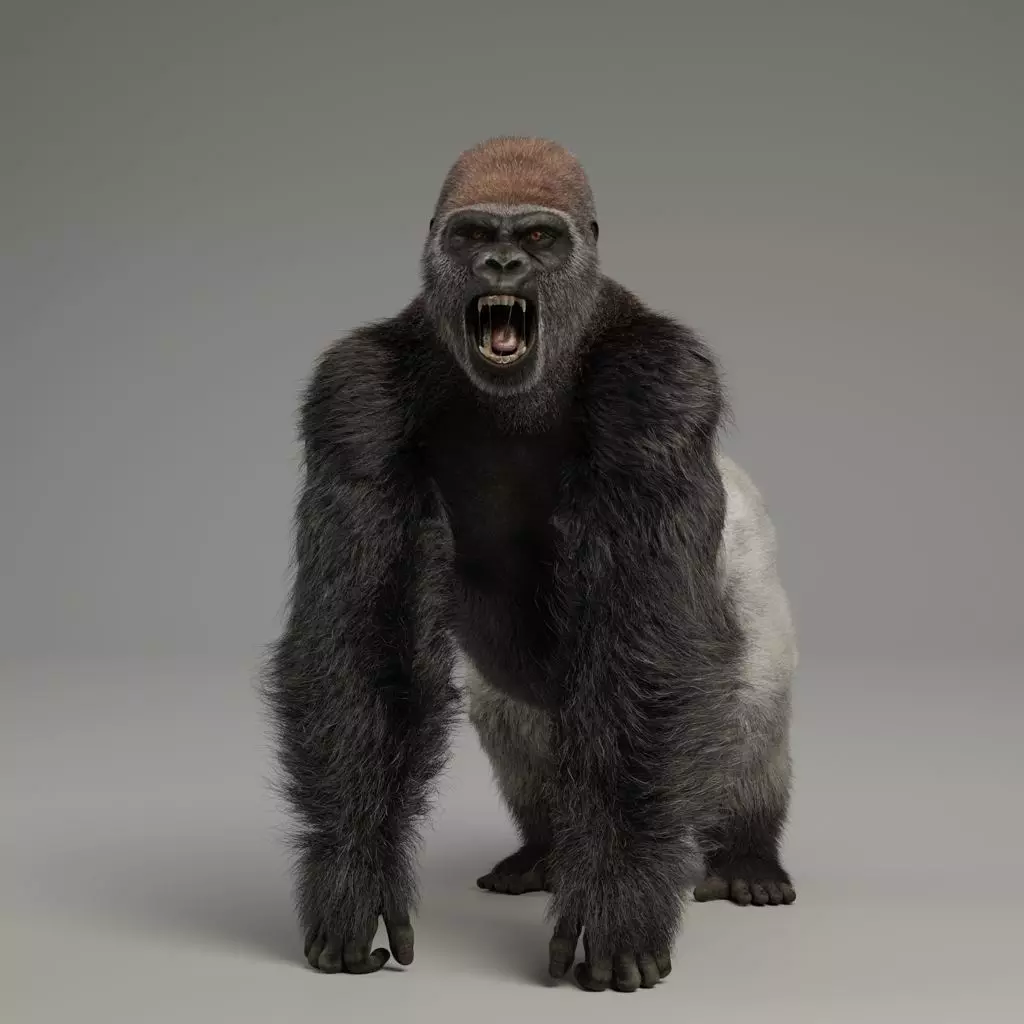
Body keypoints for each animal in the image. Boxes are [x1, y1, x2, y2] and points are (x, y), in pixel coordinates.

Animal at [262, 137, 798, 995]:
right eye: (476, 235)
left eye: (540, 238)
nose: (504, 264)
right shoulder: (354, 393)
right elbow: (364, 647)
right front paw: (353, 873)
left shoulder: (662, 384)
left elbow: (650, 654)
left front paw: (618, 890)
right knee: (522, 736)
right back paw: (545, 851)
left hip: (757, 586)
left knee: (749, 721)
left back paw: (748, 855)